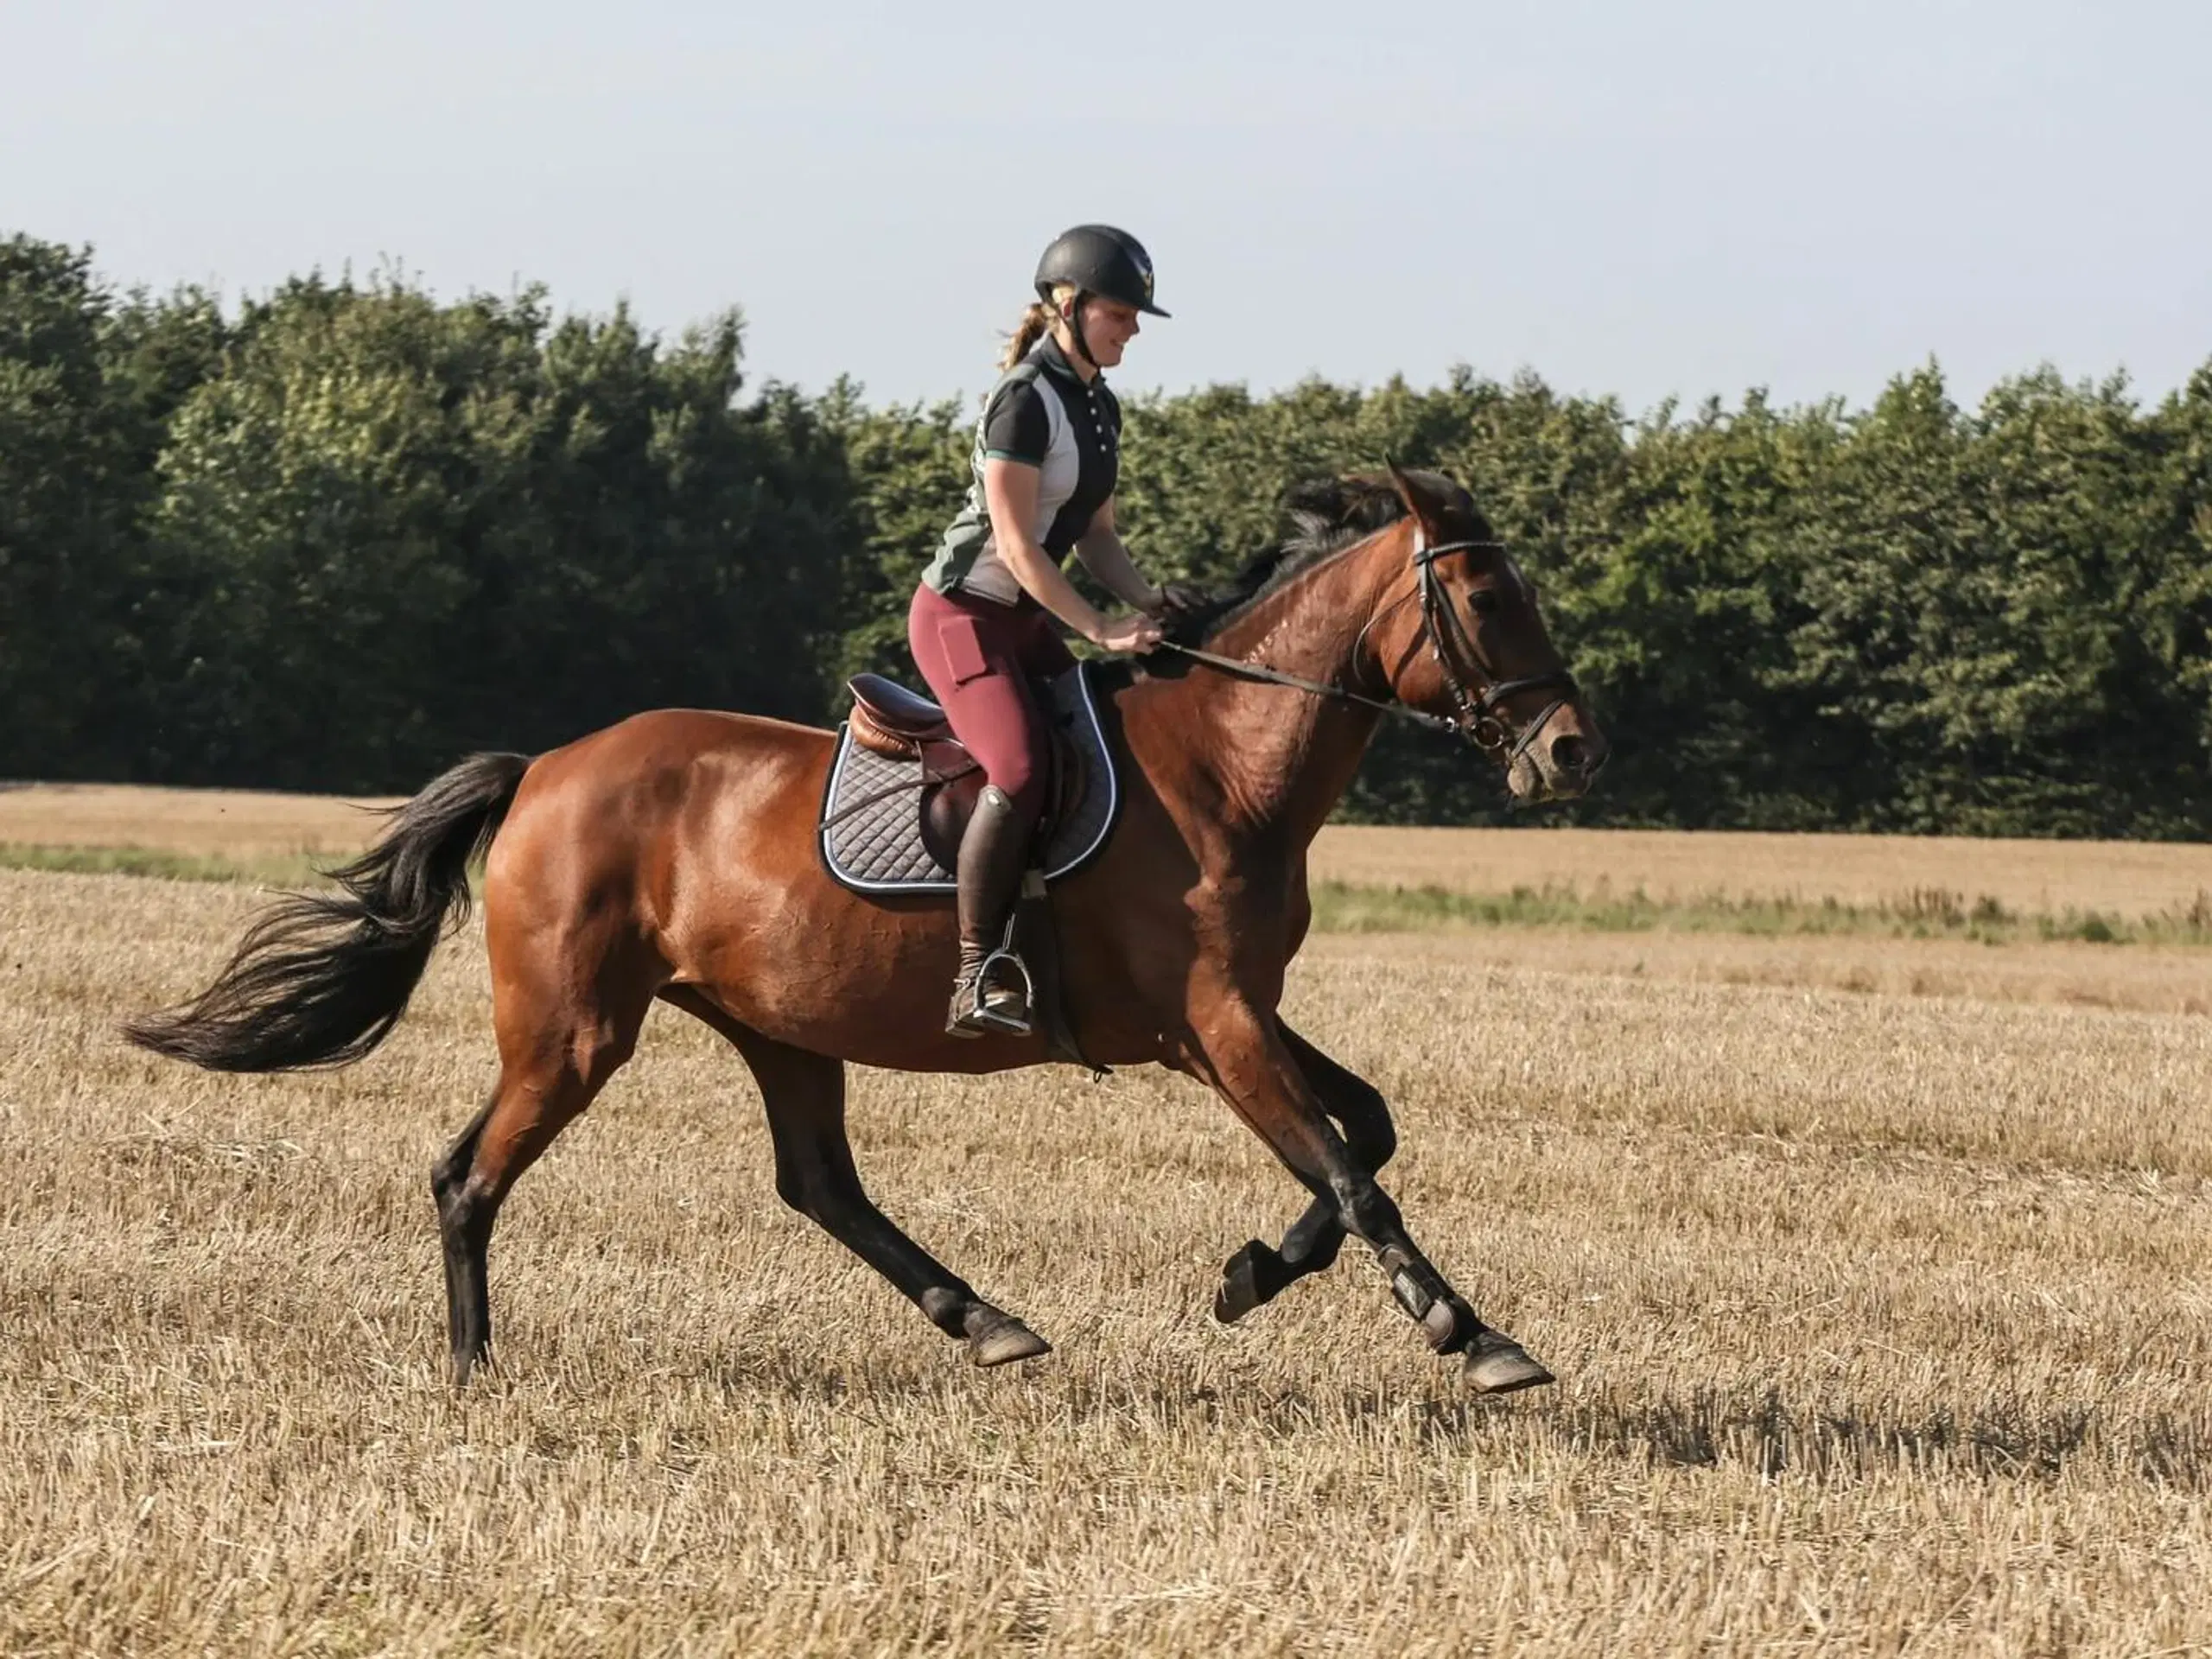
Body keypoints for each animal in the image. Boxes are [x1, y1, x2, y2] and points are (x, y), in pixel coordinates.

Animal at [125, 464, 1610, 1389]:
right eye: (1488, 600)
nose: (1571, 752)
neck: (1226, 759)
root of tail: (545, 767)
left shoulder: (1236, 1014)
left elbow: (1367, 1134)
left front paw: (1249, 1275)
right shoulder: (1216, 1022)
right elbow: (1352, 1171)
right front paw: (1472, 1335)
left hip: (777, 1020)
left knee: (819, 1184)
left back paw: (986, 1321)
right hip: (573, 1027)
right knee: (468, 1175)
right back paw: (473, 1368)